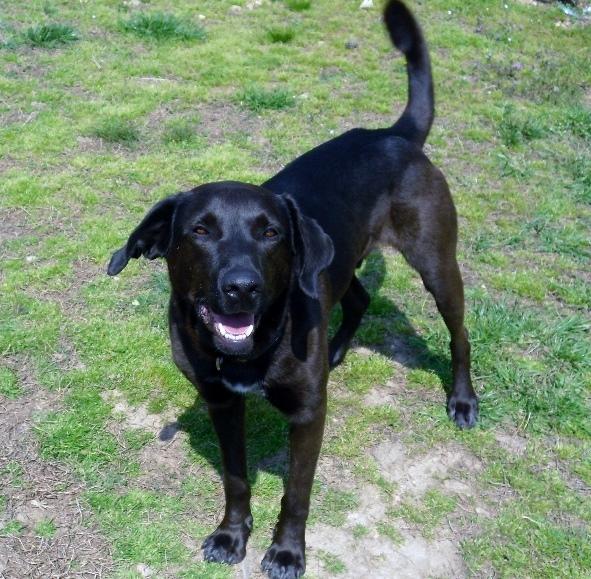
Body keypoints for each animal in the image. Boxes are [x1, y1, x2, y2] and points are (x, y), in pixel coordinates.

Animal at [105, 2, 476, 576]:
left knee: (459, 332)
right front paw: (232, 534)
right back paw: (338, 349)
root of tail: (394, 135)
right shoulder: (220, 403)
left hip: (436, 263)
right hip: (337, 260)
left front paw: (285, 550)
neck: (252, 349)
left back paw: (462, 399)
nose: (242, 288)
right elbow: (236, 480)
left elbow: (297, 492)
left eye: (270, 233)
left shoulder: (307, 416)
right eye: (200, 231)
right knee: (358, 297)